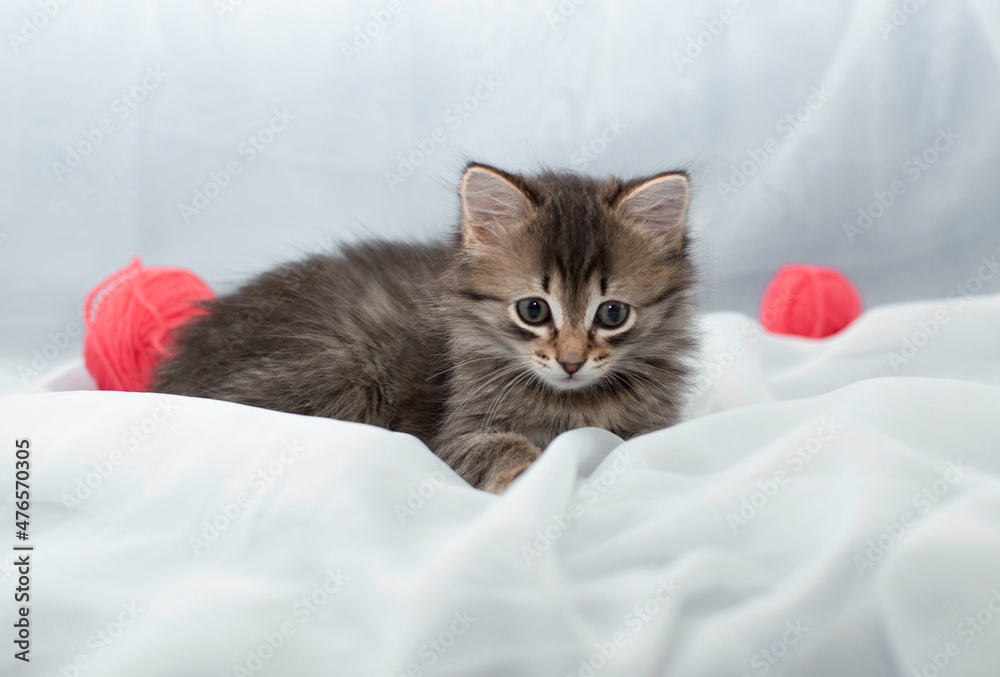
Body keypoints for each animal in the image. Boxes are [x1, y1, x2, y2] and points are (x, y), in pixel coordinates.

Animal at [154, 164, 696, 492]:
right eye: (534, 310)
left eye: (612, 314)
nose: (571, 362)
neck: (570, 400)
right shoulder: (454, 430)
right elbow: (500, 446)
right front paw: (534, 470)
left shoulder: (650, 425)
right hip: (341, 363)